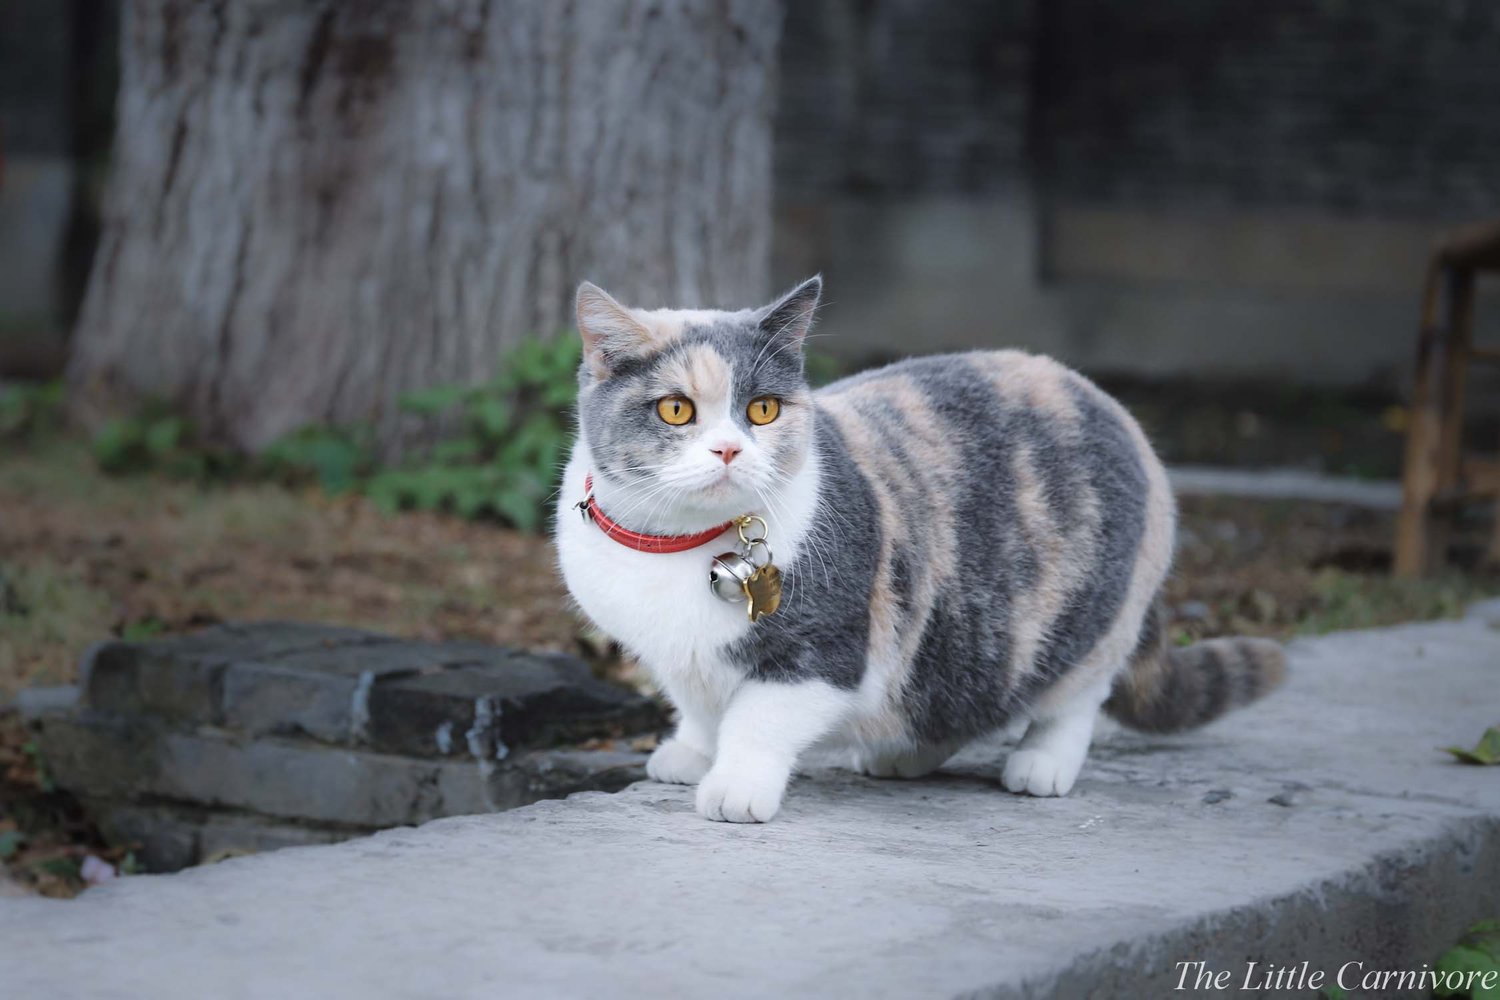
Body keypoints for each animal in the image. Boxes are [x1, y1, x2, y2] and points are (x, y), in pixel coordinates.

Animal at [558, 277, 1284, 827]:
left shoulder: (826, 649)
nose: (730, 448)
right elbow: (699, 707)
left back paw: (1041, 764)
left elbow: (756, 719)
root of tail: (1110, 404)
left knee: (1076, 694)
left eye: (762, 410)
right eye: (676, 410)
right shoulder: (675, 658)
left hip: (1087, 621)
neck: (680, 545)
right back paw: (903, 755)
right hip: (964, 633)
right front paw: (688, 753)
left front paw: (735, 786)